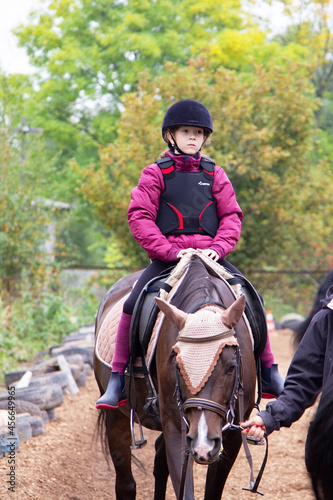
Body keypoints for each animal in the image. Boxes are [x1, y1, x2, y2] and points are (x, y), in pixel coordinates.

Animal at [94, 256, 255, 498]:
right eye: (177, 366)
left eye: (232, 367)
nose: (204, 444)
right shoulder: (177, 426)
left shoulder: (234, 431)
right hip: (116, 417)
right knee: (125, 484)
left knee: (159, 464)